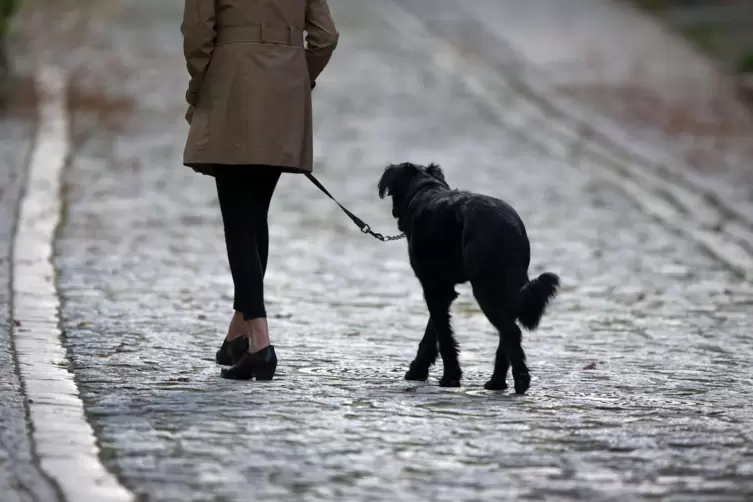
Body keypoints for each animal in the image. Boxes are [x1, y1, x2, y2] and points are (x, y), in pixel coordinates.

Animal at [376, 163, 560, 394]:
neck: (424, 190)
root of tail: (508, 226)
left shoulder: (432, 286)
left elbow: (443, 334)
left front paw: (450, 377)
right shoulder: (443, 288)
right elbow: (433, 331)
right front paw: (419, 370)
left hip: (484, 288)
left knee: (511, 331)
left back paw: (520, 380)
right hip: (505, 287)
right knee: (507, 332)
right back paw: (496, 382)